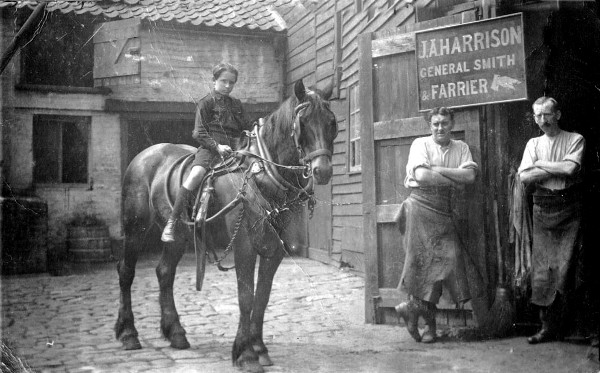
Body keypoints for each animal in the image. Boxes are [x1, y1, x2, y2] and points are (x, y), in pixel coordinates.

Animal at [113, 80, 338, 370]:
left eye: (332, 122)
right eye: (303, 122)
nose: (323, 171)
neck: (260, 174)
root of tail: (144, 156)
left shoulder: (275, 249)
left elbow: (262, 296)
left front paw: (259, 347)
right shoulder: (244, 245)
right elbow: (246, 296)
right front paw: (245, 354)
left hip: (180, 236)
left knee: (164, 272)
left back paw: (176, 333)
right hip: (135, 228)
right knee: (126, 271)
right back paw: (128, 333)